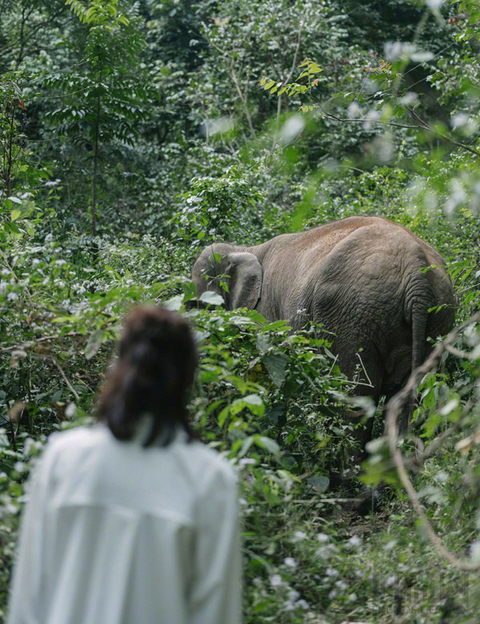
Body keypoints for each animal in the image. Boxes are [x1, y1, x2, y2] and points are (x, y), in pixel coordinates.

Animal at [191, 214, 454, 444]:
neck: (245, 248)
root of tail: (416, 270)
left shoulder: (265, 317)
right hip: (436, 318)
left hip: (352, 316)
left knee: (354, 400)